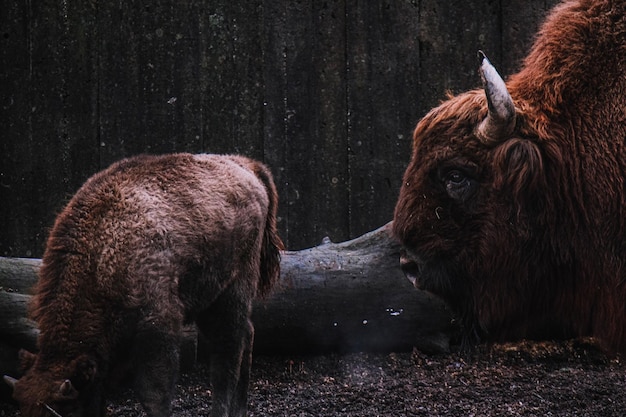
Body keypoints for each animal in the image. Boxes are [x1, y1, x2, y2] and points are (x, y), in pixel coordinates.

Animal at [3, 153, 282, 416]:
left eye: (65, 409)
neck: (100, 253)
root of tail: (247, 167)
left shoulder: (157, 325)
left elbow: (153, 395)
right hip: (209, 300)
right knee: (246, 336)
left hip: (233, 291)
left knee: (228, 355)